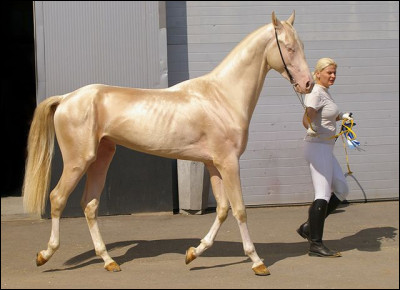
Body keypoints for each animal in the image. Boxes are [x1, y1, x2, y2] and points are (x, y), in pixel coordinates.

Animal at [23, 10, 314, 274]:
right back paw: (44, 255)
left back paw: (108, 261)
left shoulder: (213, 165)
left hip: (102, 158)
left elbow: (222, 209)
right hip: (78, 161)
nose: (308, 84)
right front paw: (257, 262)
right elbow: (240, 209)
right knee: (58, 198)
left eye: (301, 46)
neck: (222, 96)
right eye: (289, 48)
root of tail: (66, 98)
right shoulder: (229, 163)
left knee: (90, 205)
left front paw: (193, 253)